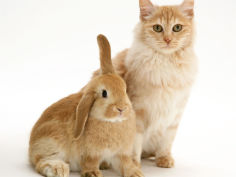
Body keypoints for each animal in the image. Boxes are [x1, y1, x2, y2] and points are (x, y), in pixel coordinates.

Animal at [29, 34, 144, 177]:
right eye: (104, 93)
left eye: (124, 89)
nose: (121, 108)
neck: (111, 122)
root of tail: (31, 146)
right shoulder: (91, 153)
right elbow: (91, 162)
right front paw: (93, 173)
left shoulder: (121, 153)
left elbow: (126, 163)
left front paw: (136, 173)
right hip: (52, 142)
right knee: (42, 161)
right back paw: (59, 169)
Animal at [94, 0, 197, 168]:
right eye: (157, 28)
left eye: (177, 28)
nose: (167, 40)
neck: (166, 63)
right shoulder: (138, 113)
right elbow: (135, 143)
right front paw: (133, 164)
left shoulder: (175, 114)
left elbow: (167, 141)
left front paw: (164, 159)